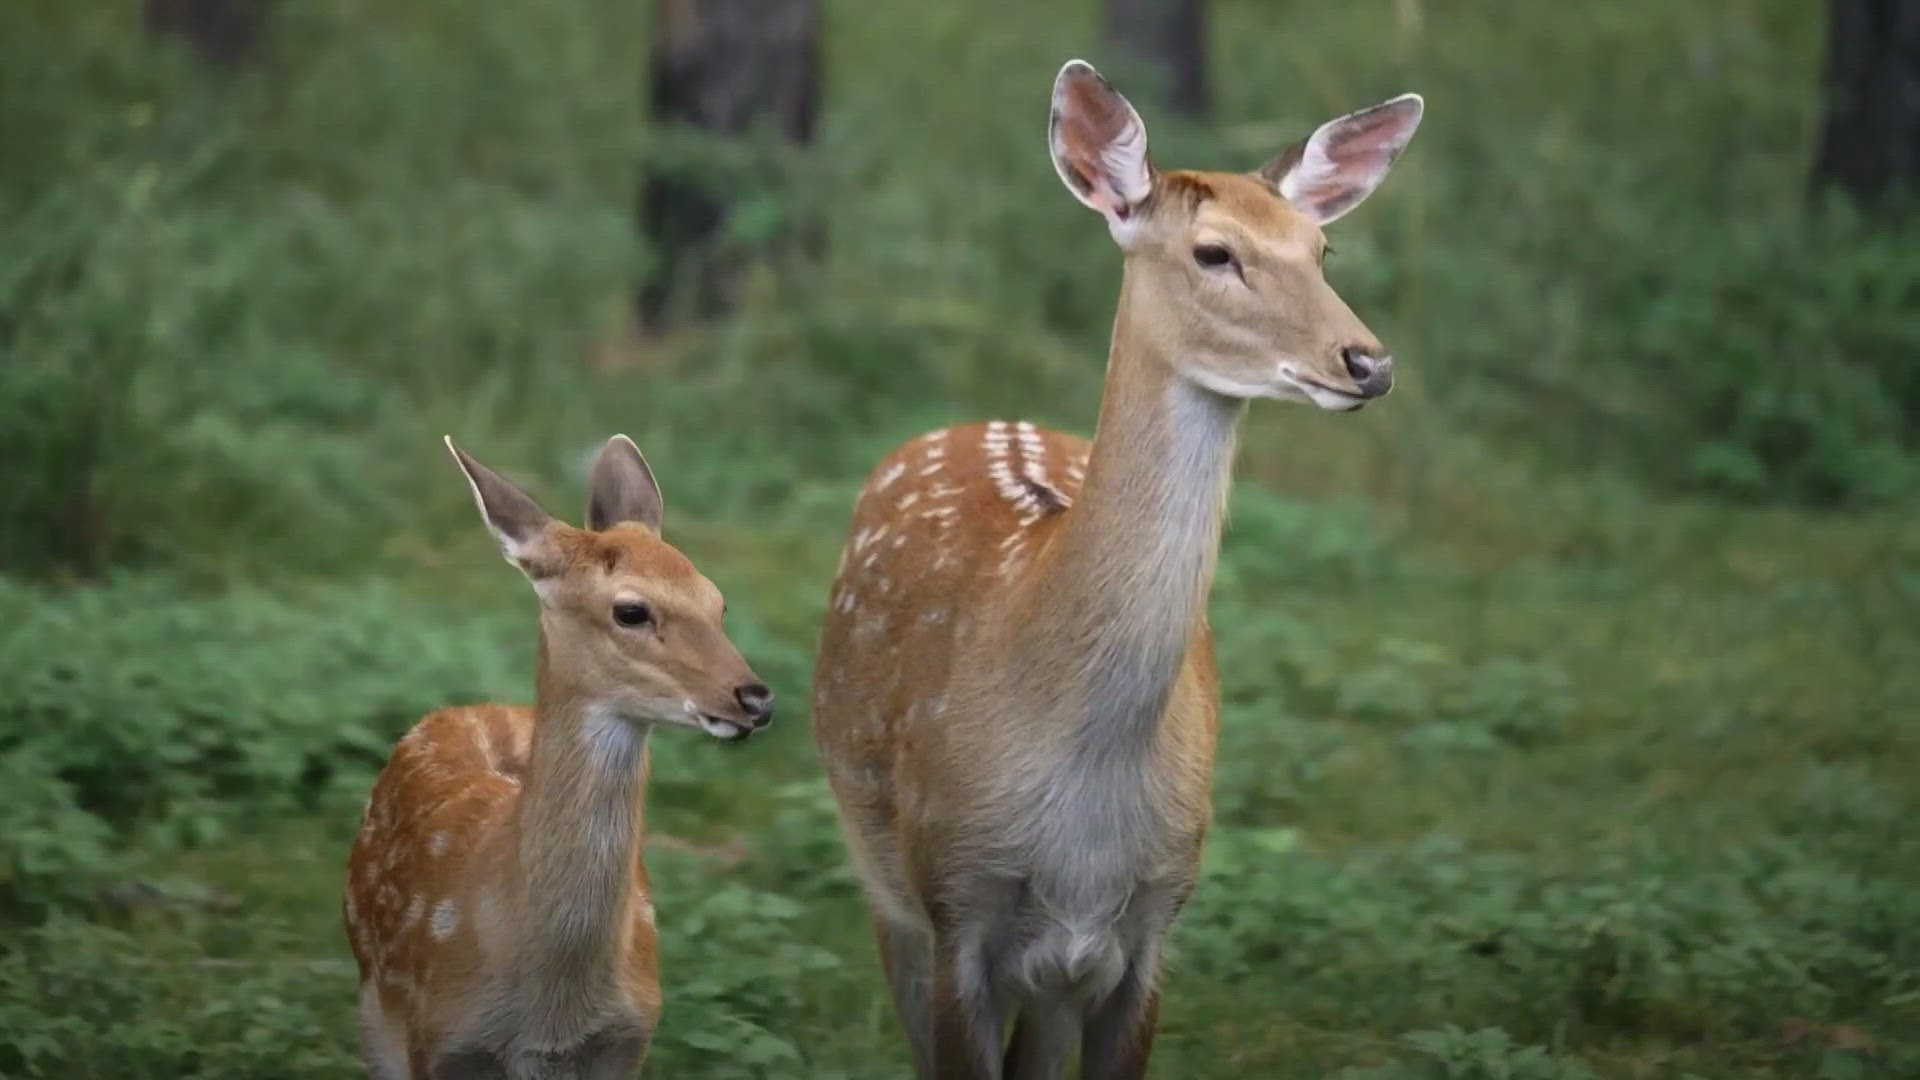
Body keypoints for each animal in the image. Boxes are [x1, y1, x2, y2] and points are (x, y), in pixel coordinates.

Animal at [810, 61, 1428, 1076]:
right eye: (1215, 254)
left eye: (1322, 248)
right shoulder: (955, 901)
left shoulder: (1152, 926)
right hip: (883, 883)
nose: (1367, 362)